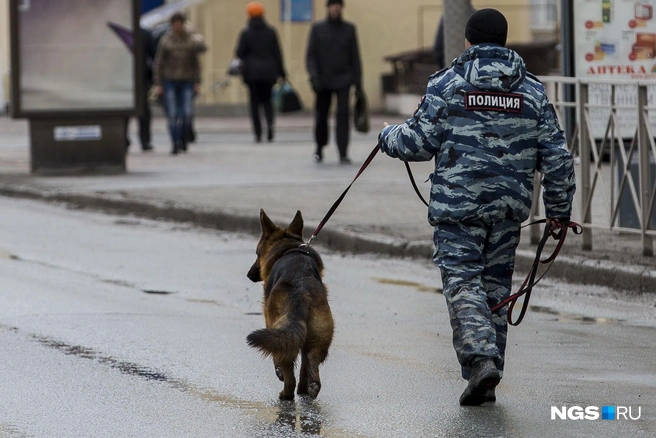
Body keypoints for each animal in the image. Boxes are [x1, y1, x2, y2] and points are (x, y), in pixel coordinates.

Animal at [246, 210, 334, 400]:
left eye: (257, 253)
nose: (249, 275)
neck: (289, 247)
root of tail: (301, 292)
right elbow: (304, 365)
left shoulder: (270, 321)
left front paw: (279, 373)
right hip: (317, 336)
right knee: (311, 358)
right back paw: (310, 387)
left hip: (281, 332)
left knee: (287, 368)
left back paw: (286, 393)